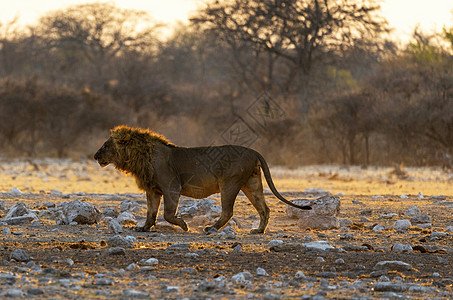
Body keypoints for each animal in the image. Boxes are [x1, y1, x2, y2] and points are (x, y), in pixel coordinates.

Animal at [93, 125, 308, 233]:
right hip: (252, 184)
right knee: (265, 208)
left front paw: (184, 225)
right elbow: (151, 212)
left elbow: (167, 214)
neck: (139, 156)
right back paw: (258, 231)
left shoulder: (172, 186)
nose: (95, 156)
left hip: (229, 183)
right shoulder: (152, 190)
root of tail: (254, 151)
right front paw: (144, 228)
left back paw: (211, 228)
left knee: (228, 211)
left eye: (105, 146)